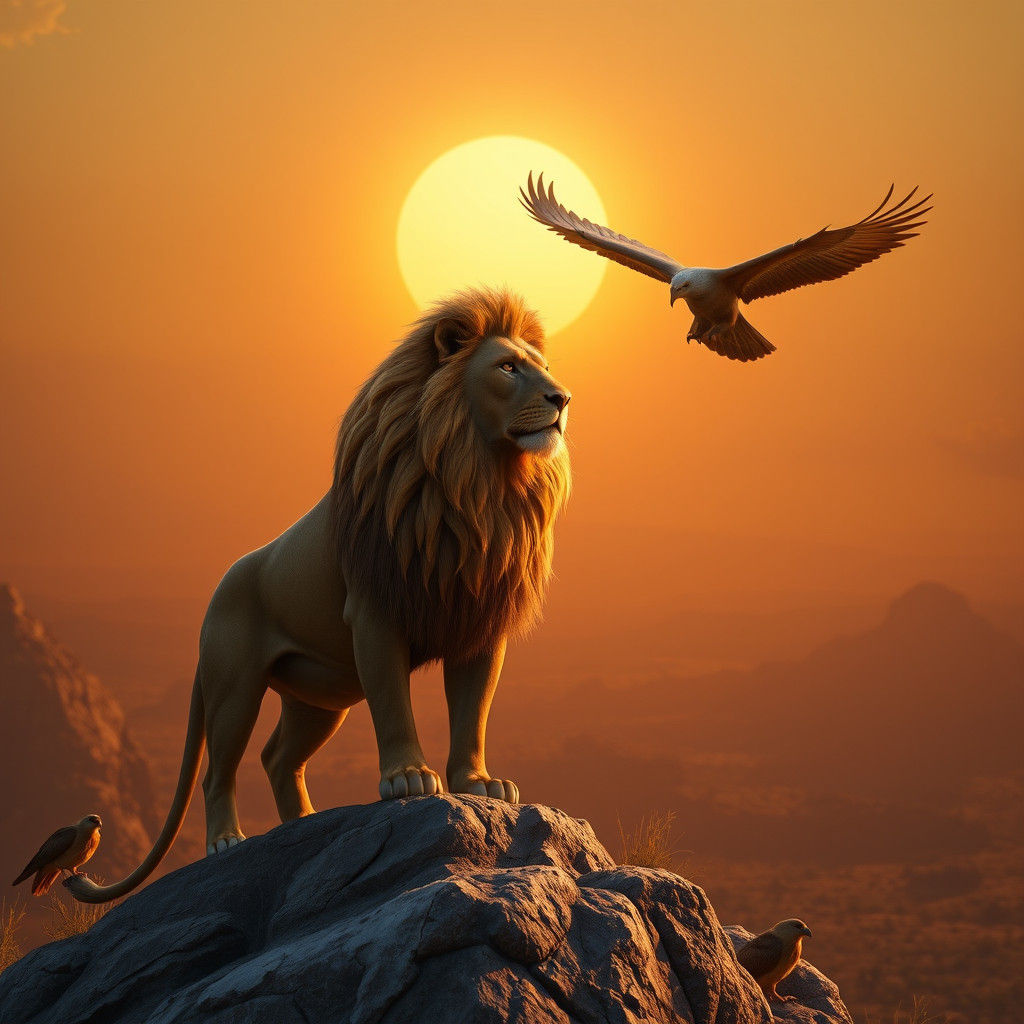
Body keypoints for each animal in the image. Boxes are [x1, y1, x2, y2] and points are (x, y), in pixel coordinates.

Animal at [67, 287, 572, 903]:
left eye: (541, 366)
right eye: (507, 368)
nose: (562, 398)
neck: (476, 484)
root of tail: (216, 592)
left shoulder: (479, 622)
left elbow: (473, 710)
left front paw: (479, 784)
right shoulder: (375, 616)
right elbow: (393, 704)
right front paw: (407, 779)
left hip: (321, 696)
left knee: (277, 758)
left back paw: (305, 823)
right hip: (234, 685)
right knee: (218, 770)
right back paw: (227, 842)